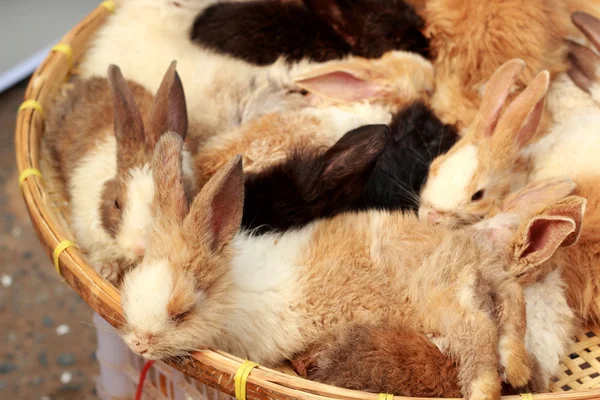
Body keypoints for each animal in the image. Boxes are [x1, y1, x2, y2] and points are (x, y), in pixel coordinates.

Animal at [115, 133, 588, 398]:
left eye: (181, 312)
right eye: (129, 286)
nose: (136, 344)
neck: (233, 291)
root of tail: (476, 258)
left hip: (441, 304)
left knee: (478, 331)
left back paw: (483, 390)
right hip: (480, 296)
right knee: (507, 317)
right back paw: (516, 366)